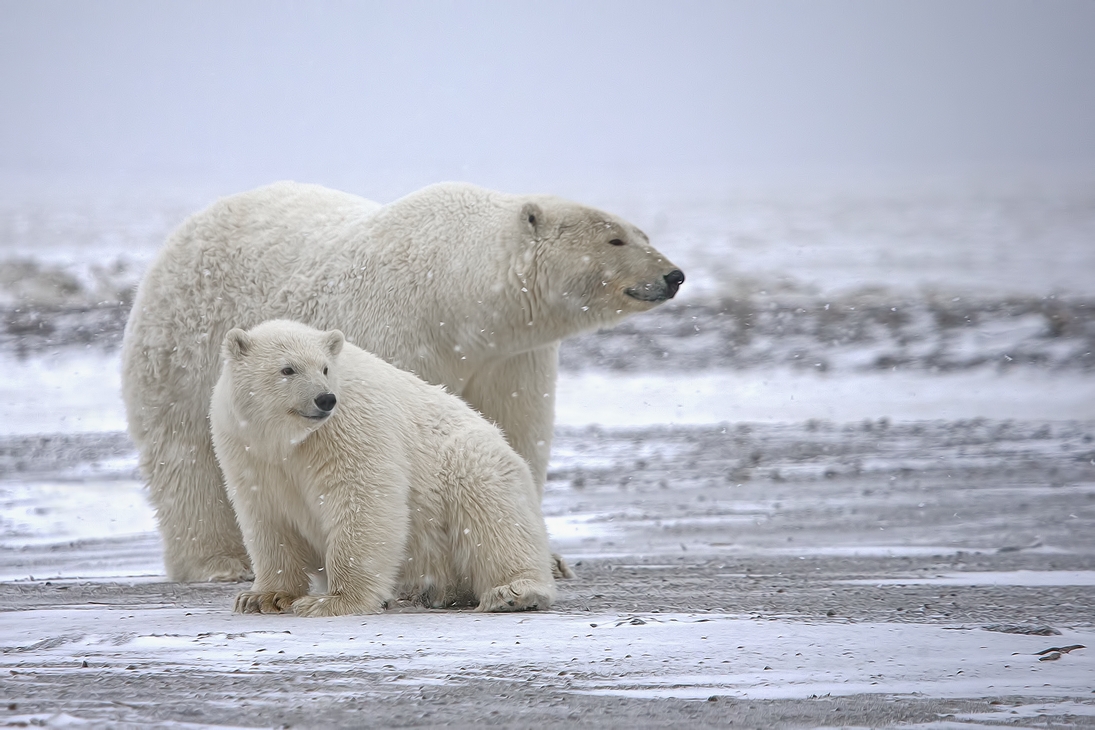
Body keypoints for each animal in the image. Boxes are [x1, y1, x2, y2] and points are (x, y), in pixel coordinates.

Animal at [122, 181, 683, 582]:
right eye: (614, 238)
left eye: (644, 234)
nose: (674, 275)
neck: (456, 295)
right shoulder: (398, 331)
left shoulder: (511, 358)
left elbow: (513, 431)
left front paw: (552, 559)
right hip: (181, 349)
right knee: (186, 456)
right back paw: (220, 563)